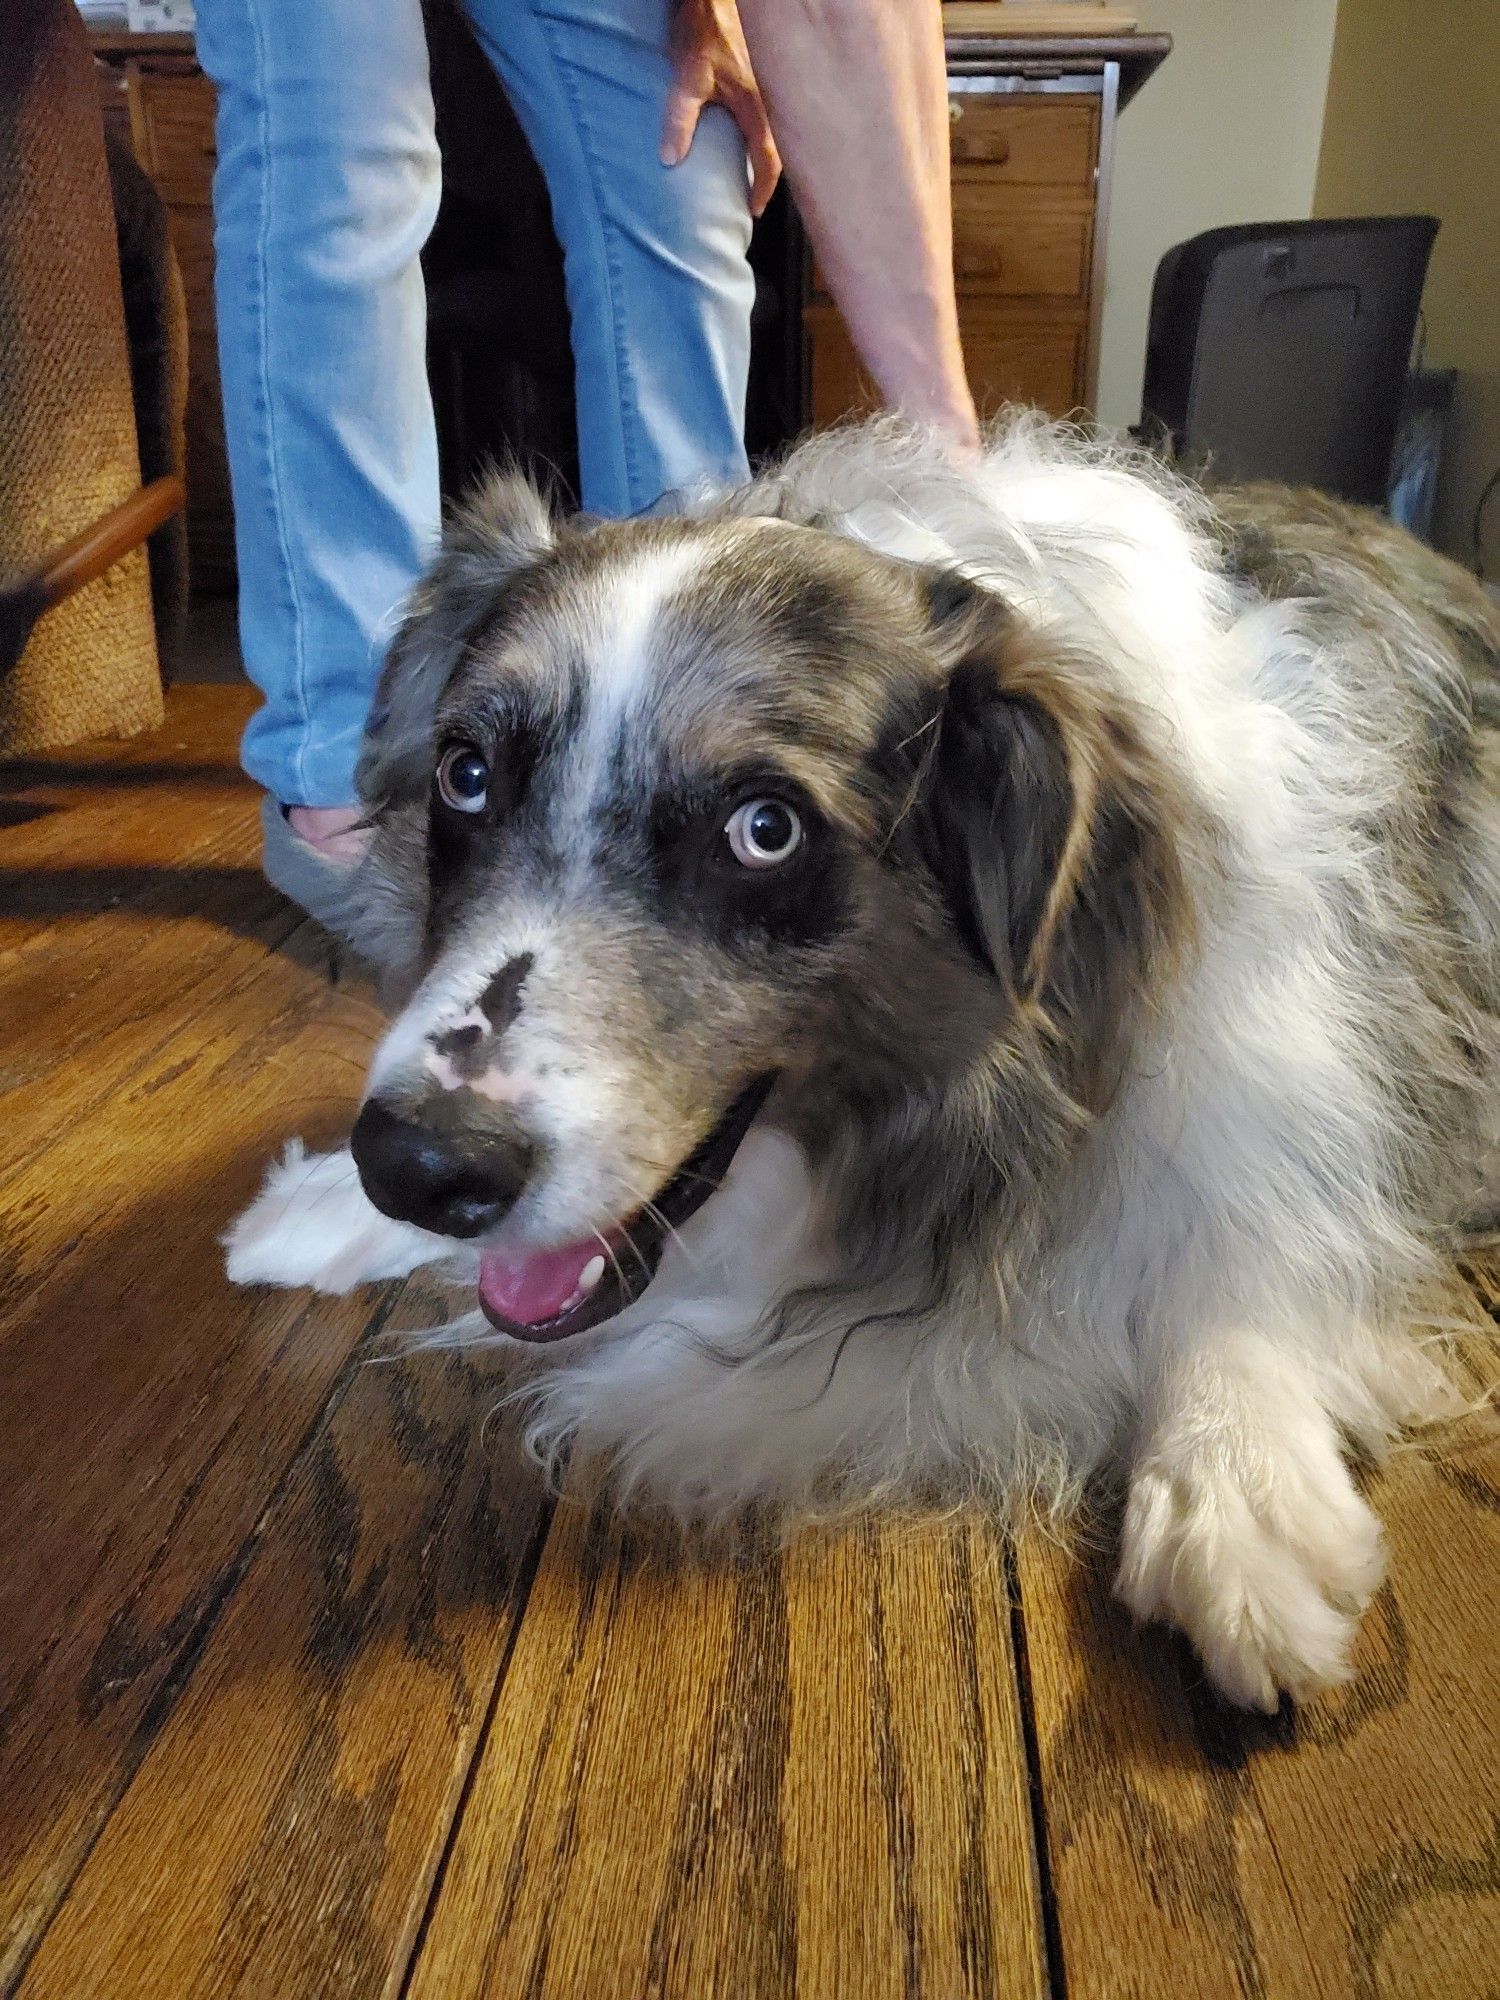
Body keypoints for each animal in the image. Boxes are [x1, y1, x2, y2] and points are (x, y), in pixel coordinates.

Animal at [226, 414, 1500, 1712]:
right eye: (467, 774)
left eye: (765, 829)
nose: (422, 1165)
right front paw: (328, 1205)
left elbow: (1252, 1215)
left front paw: (1236, 1477)